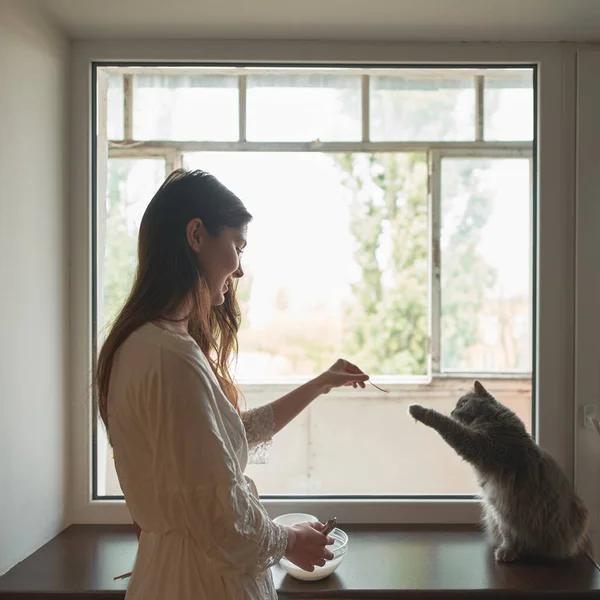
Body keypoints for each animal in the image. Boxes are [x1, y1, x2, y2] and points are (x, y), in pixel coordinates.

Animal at [408, 382, 592, 560]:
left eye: (463, 403)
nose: (453, 411)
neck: (494, 419)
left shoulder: (478, 445)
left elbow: (445, 423)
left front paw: (419, 410)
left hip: (506, 514)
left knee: (515, 539)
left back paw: (507, 553)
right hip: (498, 514)